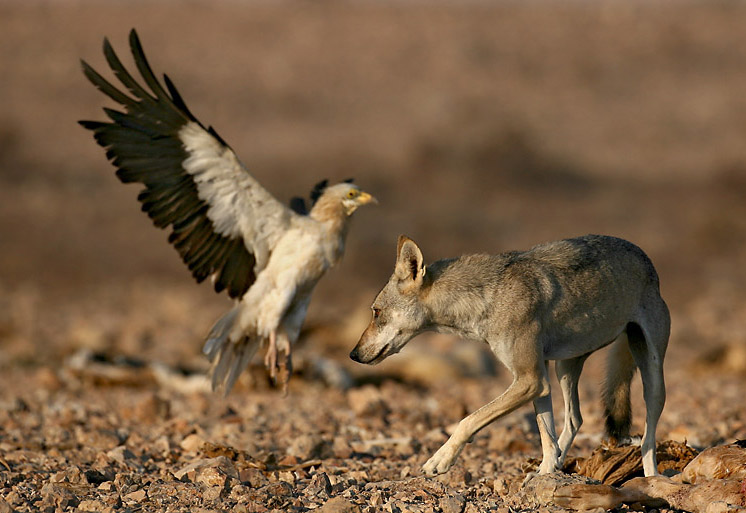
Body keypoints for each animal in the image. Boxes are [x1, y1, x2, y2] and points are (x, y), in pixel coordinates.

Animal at [348, 235, 668, 476]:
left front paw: (439, 460)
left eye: (375, 312)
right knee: (575, 418)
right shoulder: (538, 379)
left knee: (647, 438)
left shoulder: (530, 380)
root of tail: (646, 258)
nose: (353, 354)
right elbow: (547, 437)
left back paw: (652, 478)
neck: (488, 297)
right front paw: (545, 474)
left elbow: (468, 421)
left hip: (652, 380)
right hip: (564, 369)